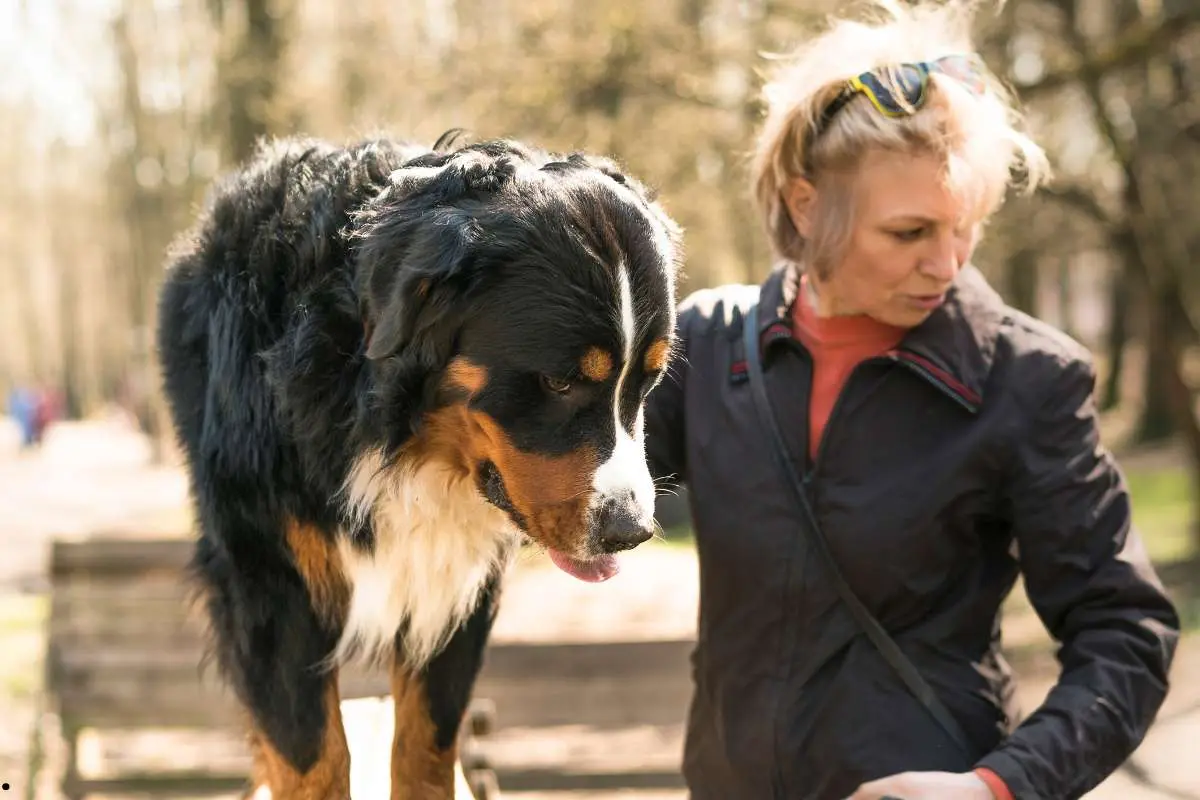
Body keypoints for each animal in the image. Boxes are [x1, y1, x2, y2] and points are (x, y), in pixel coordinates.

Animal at [157, 133, 686, 800]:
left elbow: (426, 744)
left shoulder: (453, 588)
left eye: (650, 380)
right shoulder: (268, 579)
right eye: (560, 382)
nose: (631, 531)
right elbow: (312, 755)